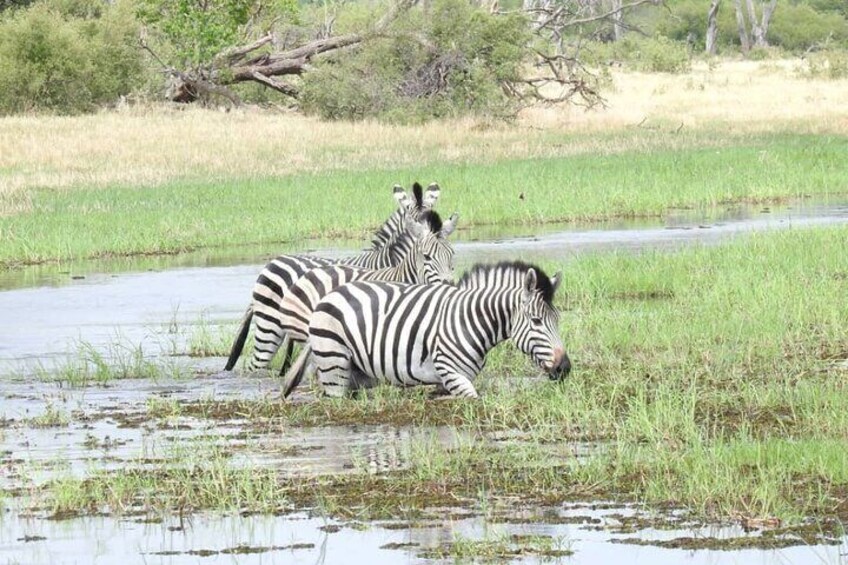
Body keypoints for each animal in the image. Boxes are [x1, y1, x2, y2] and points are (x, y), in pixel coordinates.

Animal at [288, 262, 572, 398]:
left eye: (557, 319)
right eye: (536, 321)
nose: (564, 368)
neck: (470, 320)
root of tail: (327, 297)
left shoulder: (447, 382)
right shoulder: (452, 374)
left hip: (356, 376)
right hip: (334, 367)